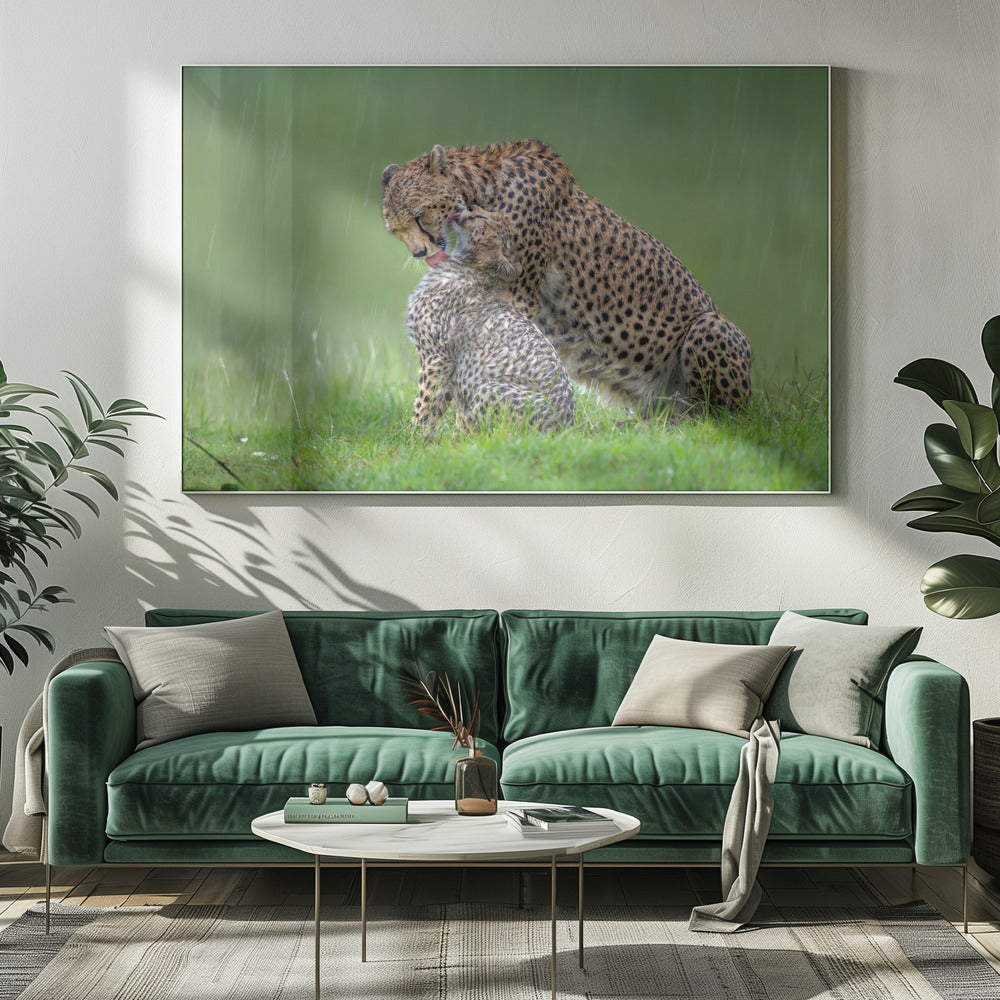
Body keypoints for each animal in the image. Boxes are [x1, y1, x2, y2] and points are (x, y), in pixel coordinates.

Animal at [405, 206, 575, 436]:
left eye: (481, 217)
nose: (469, 207)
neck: (468, 266)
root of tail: (564, 427)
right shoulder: (450, 369)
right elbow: (437, 406)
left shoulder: (438, 358)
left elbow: (424, 404)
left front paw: (410, 438)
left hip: (485, 387)